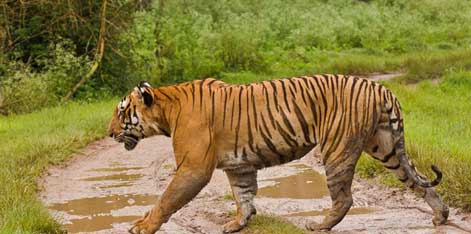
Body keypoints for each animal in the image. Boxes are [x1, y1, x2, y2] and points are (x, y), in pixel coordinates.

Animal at [108, 75, 450, 234]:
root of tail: (381, 87)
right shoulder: (239, 165)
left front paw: (143, 226)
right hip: (385, 147)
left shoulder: (193, 167)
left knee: (344, 197)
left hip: (337, 149)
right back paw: (441, 215)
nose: (109, 133)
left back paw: (320, 225)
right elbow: (243, 196)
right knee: (418, 181)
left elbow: (166, 199)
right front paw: (239, 223)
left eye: (122, 111)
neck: (167, 109)